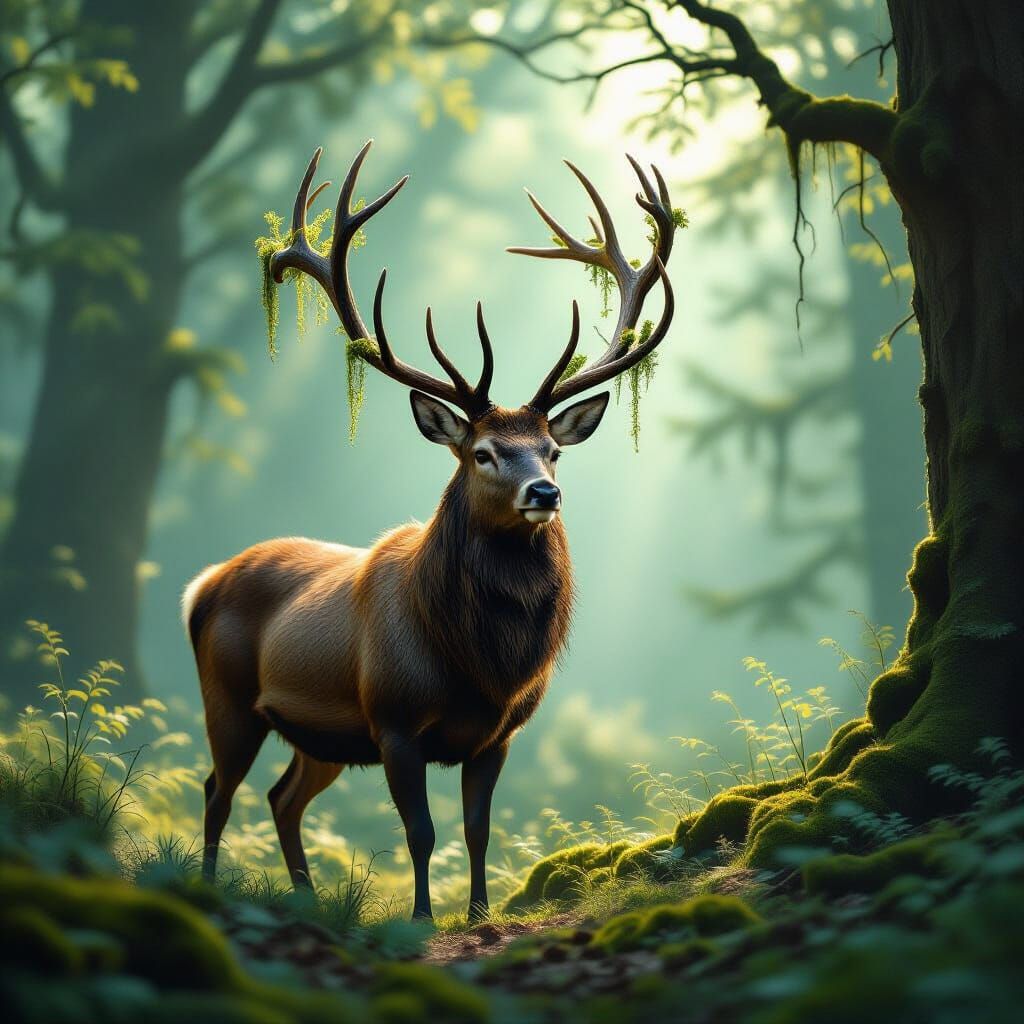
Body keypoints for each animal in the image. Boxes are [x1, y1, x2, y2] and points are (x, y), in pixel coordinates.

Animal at [183, 140, 678, 921]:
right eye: (484, 453)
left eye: (553, 448)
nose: (546, 492)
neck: (478, 664)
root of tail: (202, 584)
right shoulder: (393, 719)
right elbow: (421, 830)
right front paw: (419, 917)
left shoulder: (499, 734)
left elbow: (478, 830)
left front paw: (477, 913)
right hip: (227, 695)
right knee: (217, 788)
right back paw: (207, 887)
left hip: (319, 737)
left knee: (282, 798)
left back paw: (308, 897)